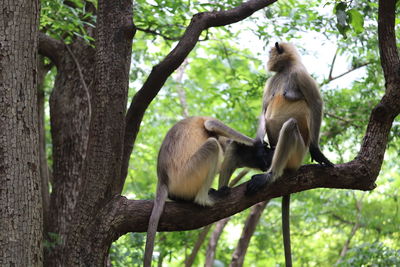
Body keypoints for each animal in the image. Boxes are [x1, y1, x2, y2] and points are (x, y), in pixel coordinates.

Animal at [145, 116, 276, 266]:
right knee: (213, 145)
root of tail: (162, 179)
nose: (266, 166)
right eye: (265, 159)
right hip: (185, 176)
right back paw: (205, 199)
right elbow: (211, 124)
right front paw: (257, 143)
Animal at [245, 42, 332, 267]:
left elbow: (316, 103)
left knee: (291, 125)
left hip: (297, 152)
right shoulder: (271, 81)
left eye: (270, 52)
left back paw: (271, 175)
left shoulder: (300, 74)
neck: (285, 71)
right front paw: (259, 148)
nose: (267, 59)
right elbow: (264, 110)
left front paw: (317, 150)